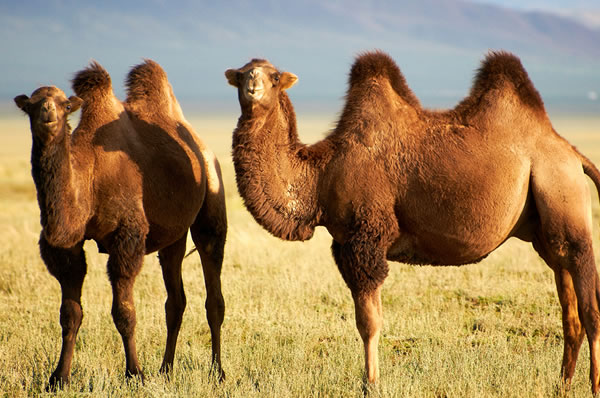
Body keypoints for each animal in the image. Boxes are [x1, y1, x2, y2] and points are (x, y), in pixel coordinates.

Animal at [16, 59, 229, 388]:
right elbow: (69, 313)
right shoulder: (67, 247)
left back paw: (217, 372)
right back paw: (165, 369)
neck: (88, 177)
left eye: (66, 104)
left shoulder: (126, 238)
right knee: (175, 300)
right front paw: (59, 377)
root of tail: (201, 147)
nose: (47, 113)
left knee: (213, 294)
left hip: (212, 199)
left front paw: (134, 374)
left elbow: (124, 312)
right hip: (173, 234)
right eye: (32, 105)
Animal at [224, 51, 600, 394]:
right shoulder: (343, 244)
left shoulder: (367, 238)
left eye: (274, 77)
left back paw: (593, 385)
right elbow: (364, 318)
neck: (321, 175)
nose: (253, 86)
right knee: (569, 309)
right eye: (241, 73)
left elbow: (369, 322)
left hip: (561, 191)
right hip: (546, 230)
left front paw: (371, 383)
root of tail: (573, 154)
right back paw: (562, 385)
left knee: (590, 306)